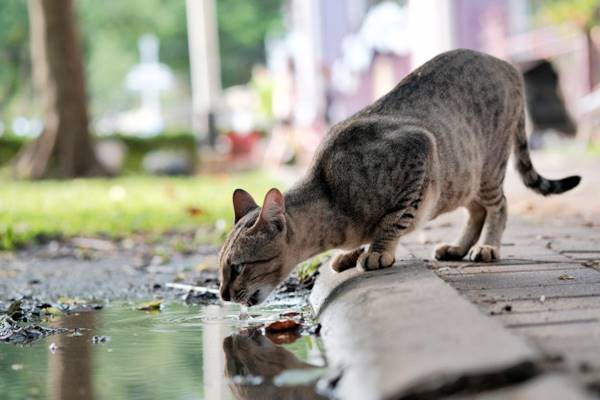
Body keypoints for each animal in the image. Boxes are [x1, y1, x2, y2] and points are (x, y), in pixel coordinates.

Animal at [218, 50, 580, 306]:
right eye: (221, 269)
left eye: (236, 267)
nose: (222, 295)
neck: (332, 197)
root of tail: (507, 65)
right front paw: (351, 253)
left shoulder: (419, 150)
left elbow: (394, 220)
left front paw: (377, 250)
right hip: (465, 177)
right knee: (477, 210)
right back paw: (458, 247)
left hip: (487, 168)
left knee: (498, 207)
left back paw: (488, 246)